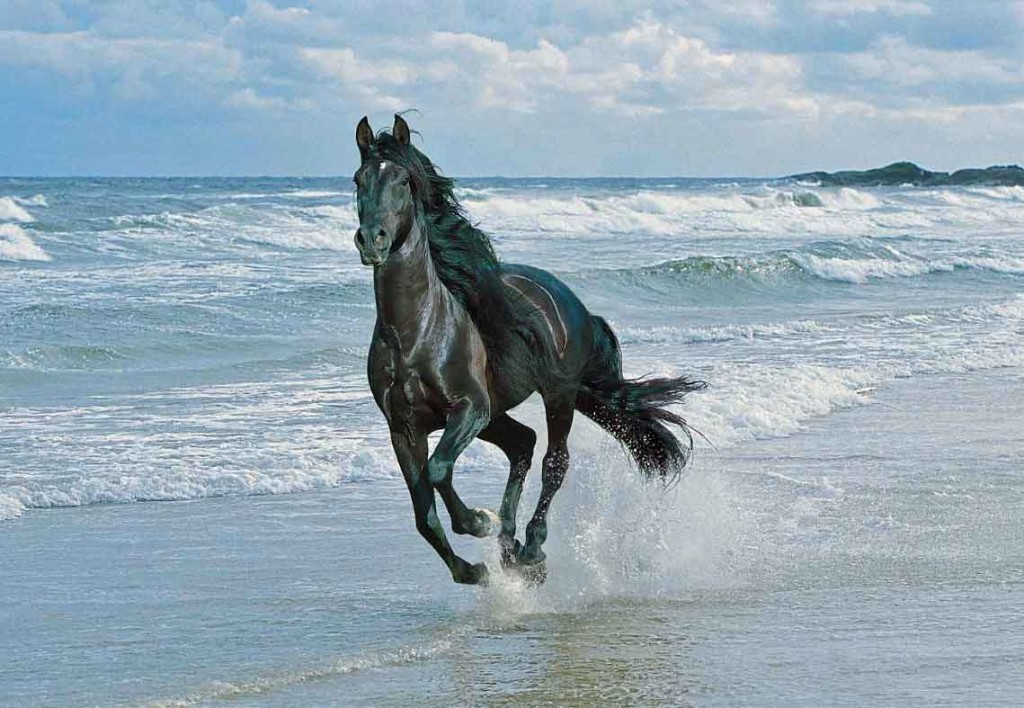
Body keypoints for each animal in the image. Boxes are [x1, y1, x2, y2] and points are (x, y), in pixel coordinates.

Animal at [354, 113, 704, 586]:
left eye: (404, 181)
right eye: (358, 180)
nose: (372, 240)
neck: (416, 334)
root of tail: (573, 303)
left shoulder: (469, 408)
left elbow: (439, 471)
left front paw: (478, 521)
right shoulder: (403, 428)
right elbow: (423, 514)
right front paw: (473, 569)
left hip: (557, 395)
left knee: (554, 461)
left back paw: (531, 548)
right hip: (499, 413)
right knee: (523, 444)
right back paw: (510, 547)